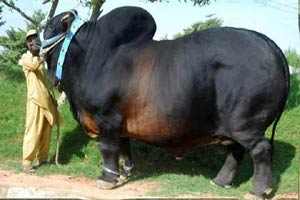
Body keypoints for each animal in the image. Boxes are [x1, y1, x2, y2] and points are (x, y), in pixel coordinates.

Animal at [41, 5, 288, 198]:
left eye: (51, 27)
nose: (33, 39)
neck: (89, 57)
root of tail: (268, 43)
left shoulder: (107, 117)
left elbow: (108, 149)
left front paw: (107, 179)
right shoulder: (119, 122)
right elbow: (124, 146)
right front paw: (126, 171)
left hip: (246, 123)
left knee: (261, 150)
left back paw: (258, 190)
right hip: (231, 127)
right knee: (235, 150)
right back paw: (220, 181)